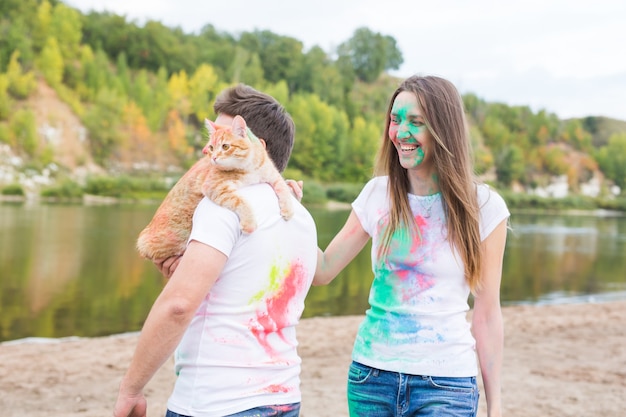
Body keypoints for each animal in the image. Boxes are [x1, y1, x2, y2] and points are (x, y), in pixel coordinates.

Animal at [136, 112, 292, 258]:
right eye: (211, 147)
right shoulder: (214, 187)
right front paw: (249, 223)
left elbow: (284, 189)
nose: (213, 157)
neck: (249, 167)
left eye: (225, 146)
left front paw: (288, 210)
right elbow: (240, 201)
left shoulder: (273, 175)